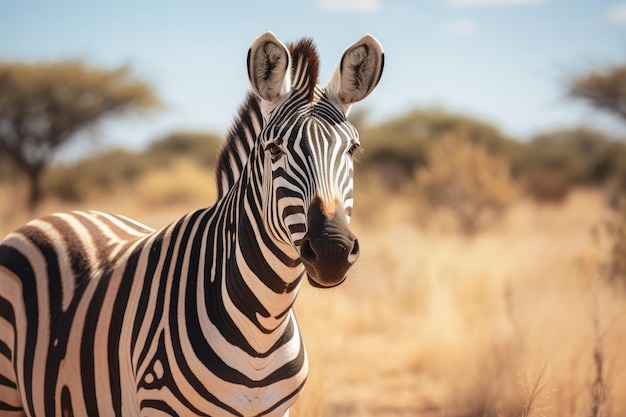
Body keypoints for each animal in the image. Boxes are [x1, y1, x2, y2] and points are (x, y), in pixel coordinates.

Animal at [0, 32, 380, 416]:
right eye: (274, 150)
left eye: (353, 150)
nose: (332, 250)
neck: (264, 327)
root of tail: (54, 216)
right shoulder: (159, 404)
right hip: (7, 392)